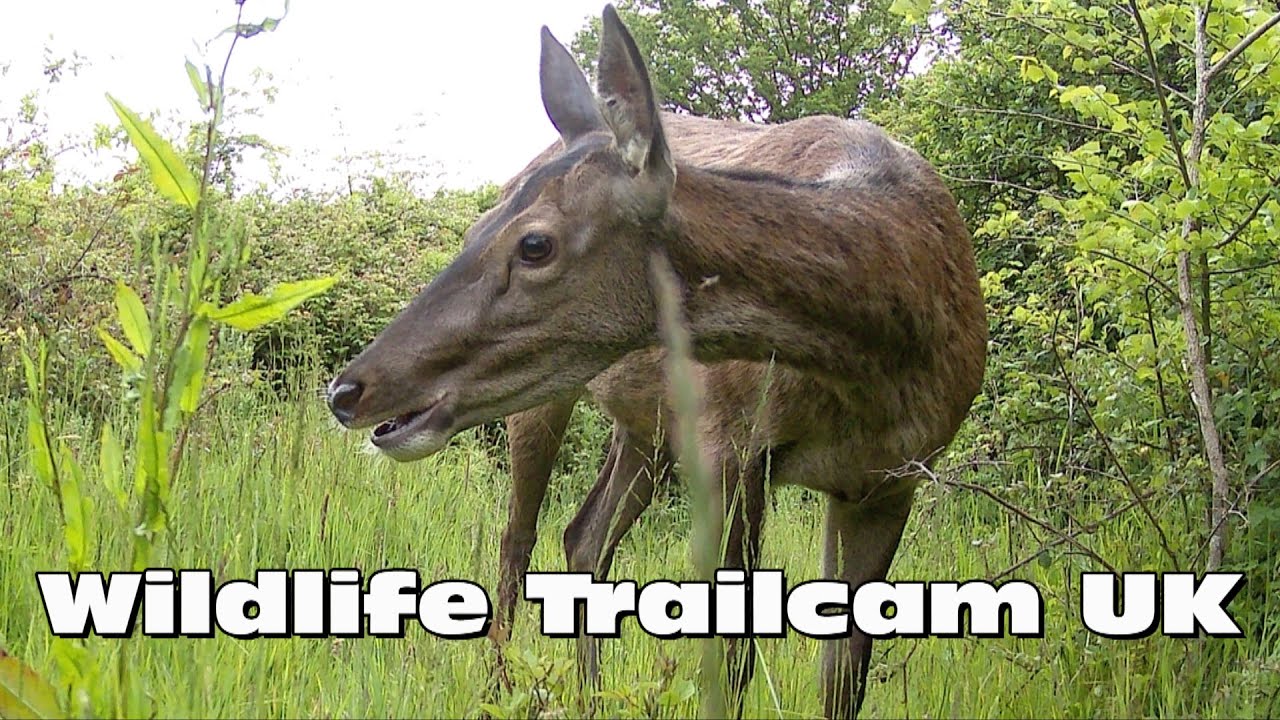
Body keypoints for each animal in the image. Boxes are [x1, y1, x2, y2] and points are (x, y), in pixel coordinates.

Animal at [326, 6, 987, 718]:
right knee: (516, 541)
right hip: (563, 404)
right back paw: (500, 690)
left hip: (649, 423)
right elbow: (731, 664)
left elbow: (843, 680)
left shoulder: (891, 478)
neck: (878, 359)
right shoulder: (732, 442)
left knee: (584, 534)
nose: (348, 391)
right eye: (476, 230)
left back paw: (588, 696)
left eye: (534, 245)